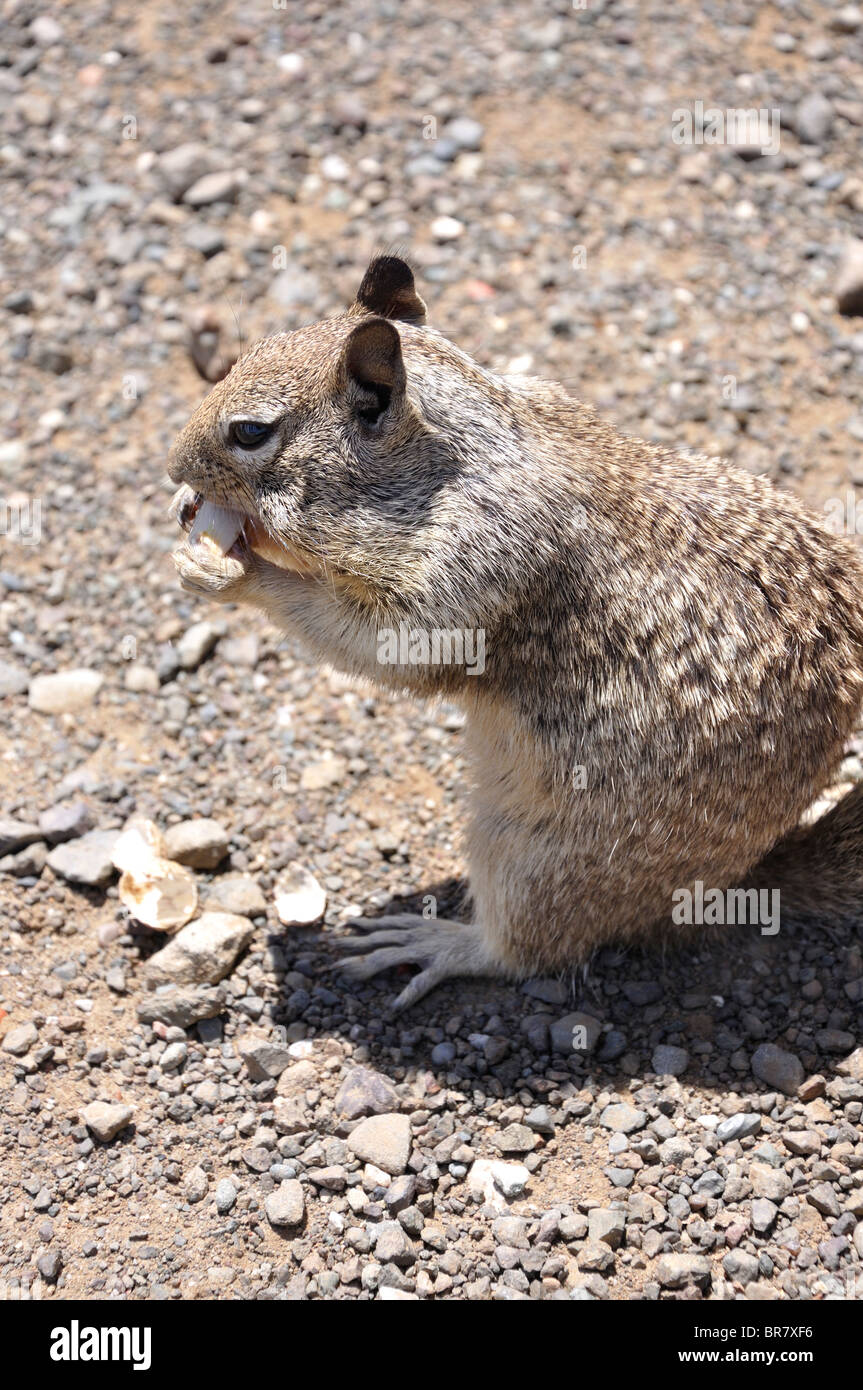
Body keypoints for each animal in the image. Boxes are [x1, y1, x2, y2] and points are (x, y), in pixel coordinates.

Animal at [168, 254, 863, 1012]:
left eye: (250, 432)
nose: (171, 464)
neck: (460, 456)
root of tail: (732, 884)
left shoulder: (469, 574)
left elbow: (380, 647)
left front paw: (237, 571)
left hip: (537, 857)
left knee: (528, 950)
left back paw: (436, 942)